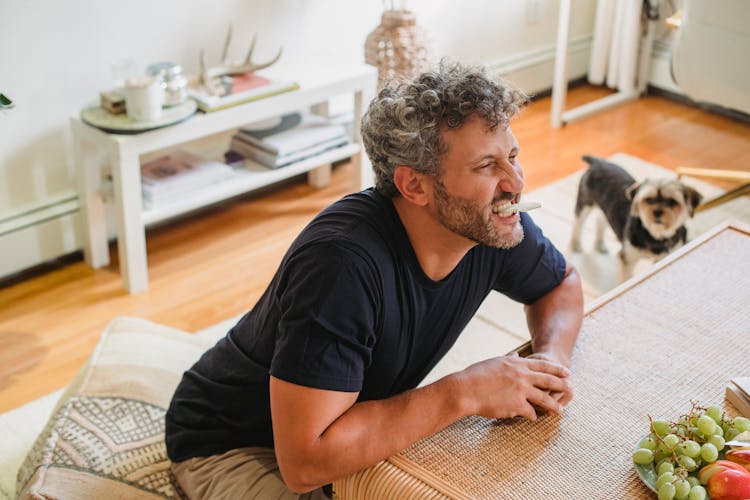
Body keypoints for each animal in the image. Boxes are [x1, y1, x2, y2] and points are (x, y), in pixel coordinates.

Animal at [576, 154, 704, 282]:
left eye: (672, 202)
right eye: (649, 199)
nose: (657, 212)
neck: (655, 236)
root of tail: (598, 162)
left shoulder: (663, 257)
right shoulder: (627, 258)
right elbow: (625, 278)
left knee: (600, 220)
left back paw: (599, 245)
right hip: (585, 202)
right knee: (578, 224)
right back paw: (575, 246)